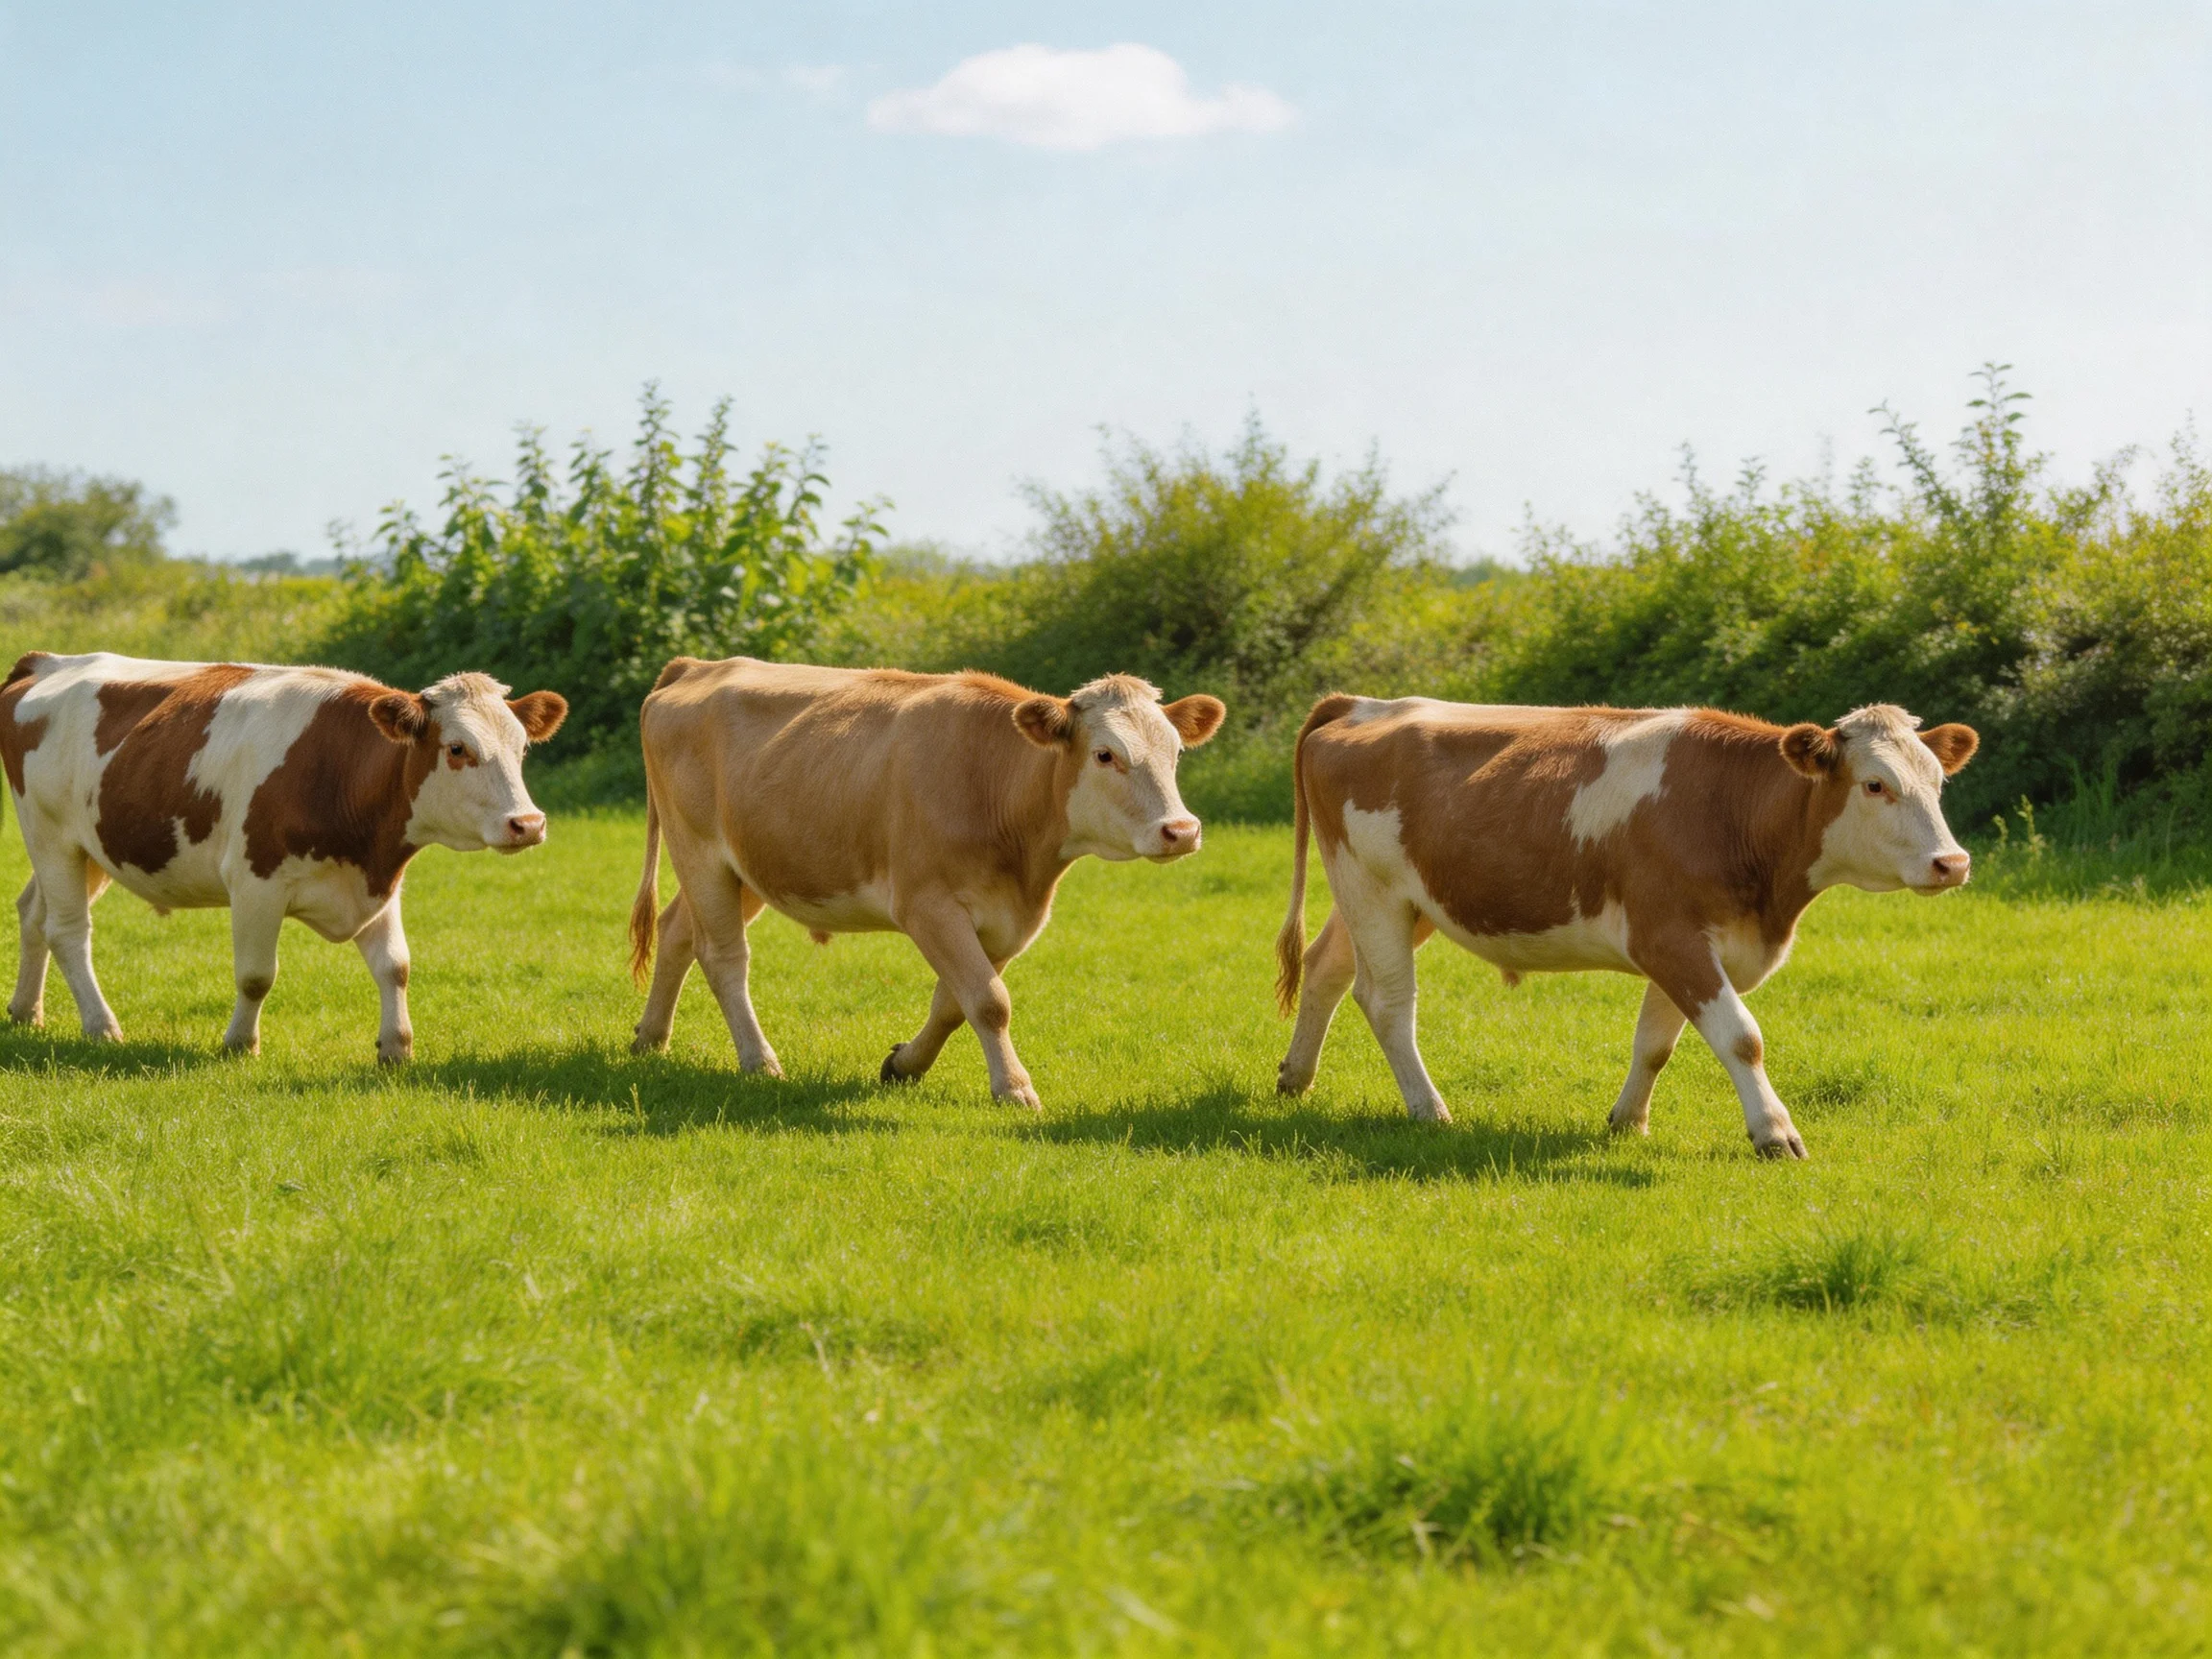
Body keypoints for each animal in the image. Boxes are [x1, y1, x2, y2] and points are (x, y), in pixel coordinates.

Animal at [0, 651, 567, 1060]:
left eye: (522, 748)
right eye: (457, 748)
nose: (528, 823)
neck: (338, 768)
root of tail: (47, 660)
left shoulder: (378, 880)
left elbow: (395, 967)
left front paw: (396, 1048)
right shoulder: (255, 883)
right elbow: (256, 975)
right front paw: (239, 1044)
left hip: (93, 848)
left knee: (33, 914)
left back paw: (26, 1010)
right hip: (52, 839)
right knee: (68, 931)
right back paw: (101, 1026)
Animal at [628, 659, 1225, 1106]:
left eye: (1176, 752)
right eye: (1105, 754)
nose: (1181, 830)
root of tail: (699, 665)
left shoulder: (1008, 921)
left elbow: (955, 1003)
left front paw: (904, 1065)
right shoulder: (928, 906)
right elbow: (990, 1000)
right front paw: (1014, 1088)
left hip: (754, 865)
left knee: (677, 930)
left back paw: (651, 1037)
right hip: (699, 850)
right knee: (724, 955)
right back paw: (759, 1060)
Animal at [1272, 698, 1979, 1158]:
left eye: (1939, 782)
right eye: (1875, 784)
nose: (1952, 862)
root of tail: (1366, 704)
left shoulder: (1688, 946)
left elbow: (1656, 1045)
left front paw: (1627, 1123)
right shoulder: (1670, 937)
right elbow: (1741, 1036)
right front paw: (1775, 1134)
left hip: (1402, 899)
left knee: (1327, 966)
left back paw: (1295, 1077)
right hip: (1372, 888)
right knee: (1388, 1000)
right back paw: (1429, 1109)